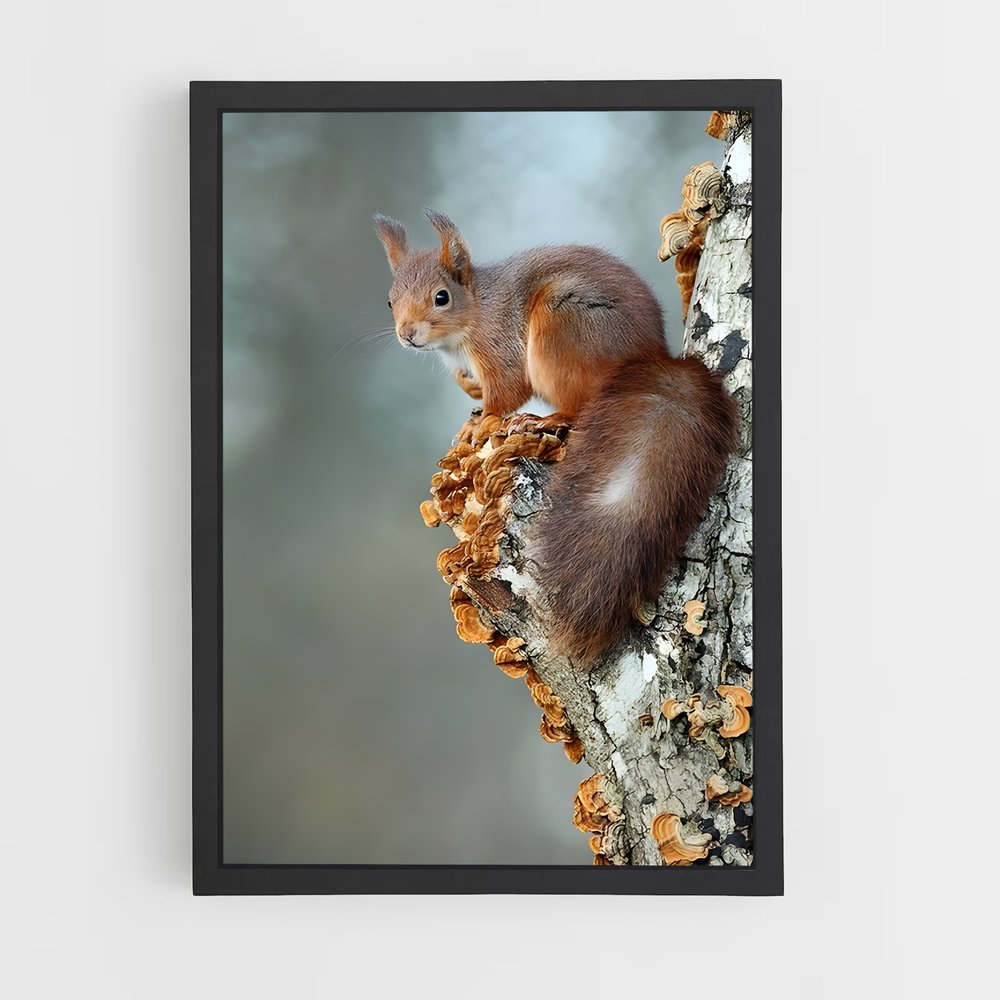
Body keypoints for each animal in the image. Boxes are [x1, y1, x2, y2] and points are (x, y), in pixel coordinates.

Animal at [374, 209, 737, 667]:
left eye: (442, 297)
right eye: (390, 300)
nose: (407, 334)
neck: (474, 312)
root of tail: (648, 358)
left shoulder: (499, 348)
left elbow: (506, 392)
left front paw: (482, 422)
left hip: (561, 328)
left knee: (578, 406)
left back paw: (539, 420)